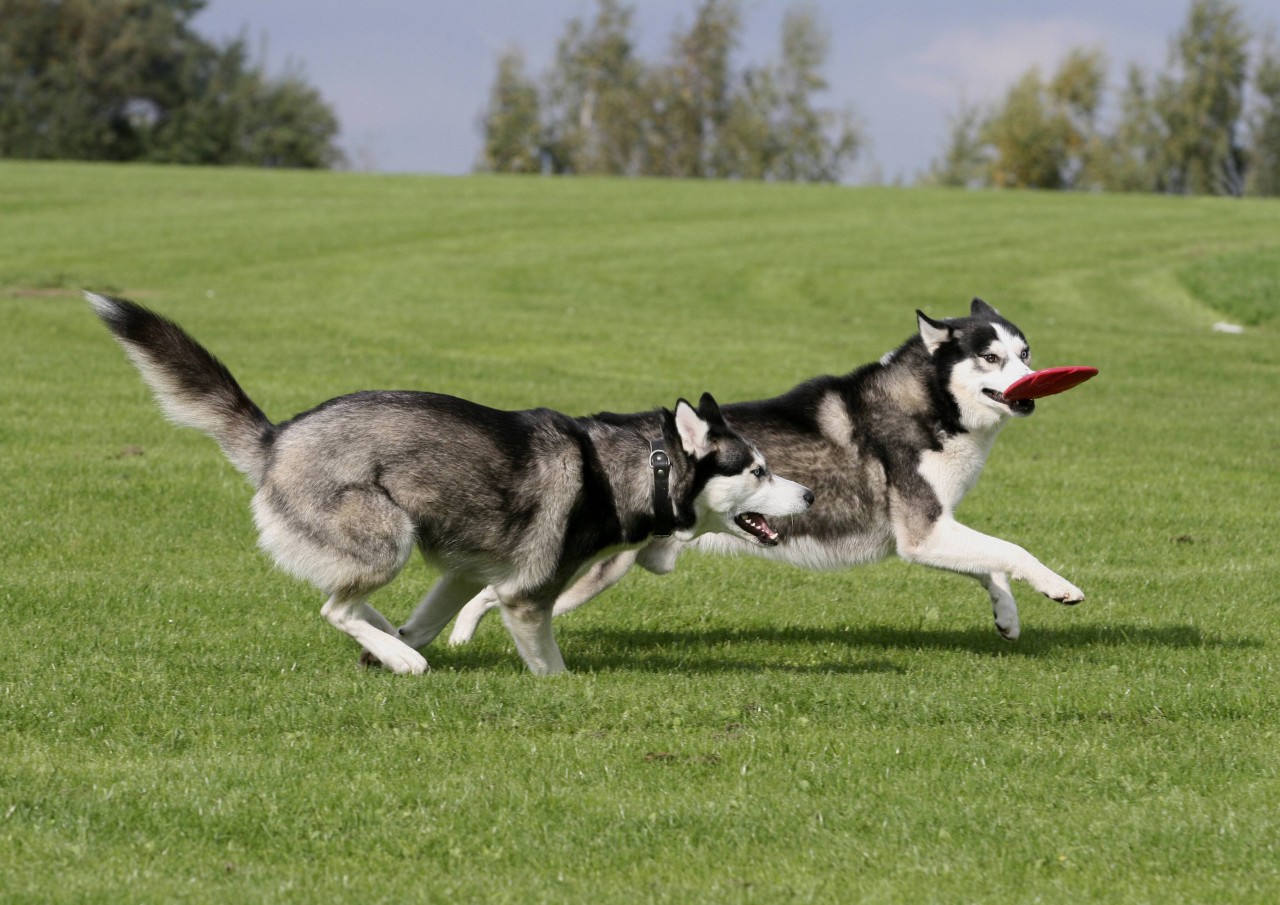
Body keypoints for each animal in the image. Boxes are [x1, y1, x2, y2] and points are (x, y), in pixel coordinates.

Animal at [87, 294, 808, 675]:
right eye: (757, 470)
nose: (808, 494)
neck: (640, 471)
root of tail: (278, 437)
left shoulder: (464, 571)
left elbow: (434, 617)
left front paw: (401, 641)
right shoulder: (525, 596)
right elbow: (550, 664)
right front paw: (559, 686)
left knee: (350, 604)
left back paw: (388, 642)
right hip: (388, 538)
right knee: (335, 607)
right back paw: (402, 660)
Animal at [455, 300, 1085, 647]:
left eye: (1025, 354)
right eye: (991, 359)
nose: (1032, 386)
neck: (930, 405)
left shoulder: (935, 531)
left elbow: (992, 566)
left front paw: (1006, 617)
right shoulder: (923, 534)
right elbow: (1013, 551)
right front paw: (1058, 587)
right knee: (495, 589)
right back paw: (459, 636)